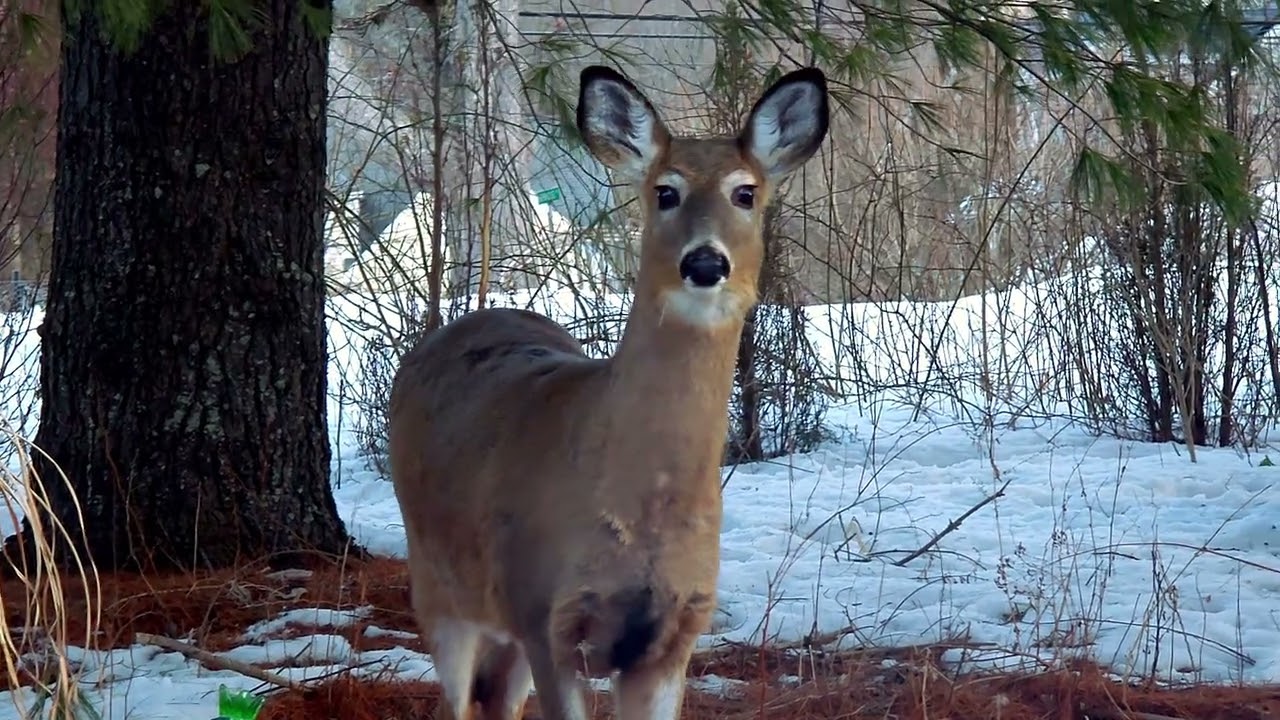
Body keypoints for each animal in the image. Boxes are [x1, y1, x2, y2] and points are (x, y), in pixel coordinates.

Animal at [388, 64, 829, 720]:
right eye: (665, 191)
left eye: (745, 192)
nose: (705, 262)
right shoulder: (545, 613)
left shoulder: (673, 635)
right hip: (442, 590)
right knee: (458, 698)